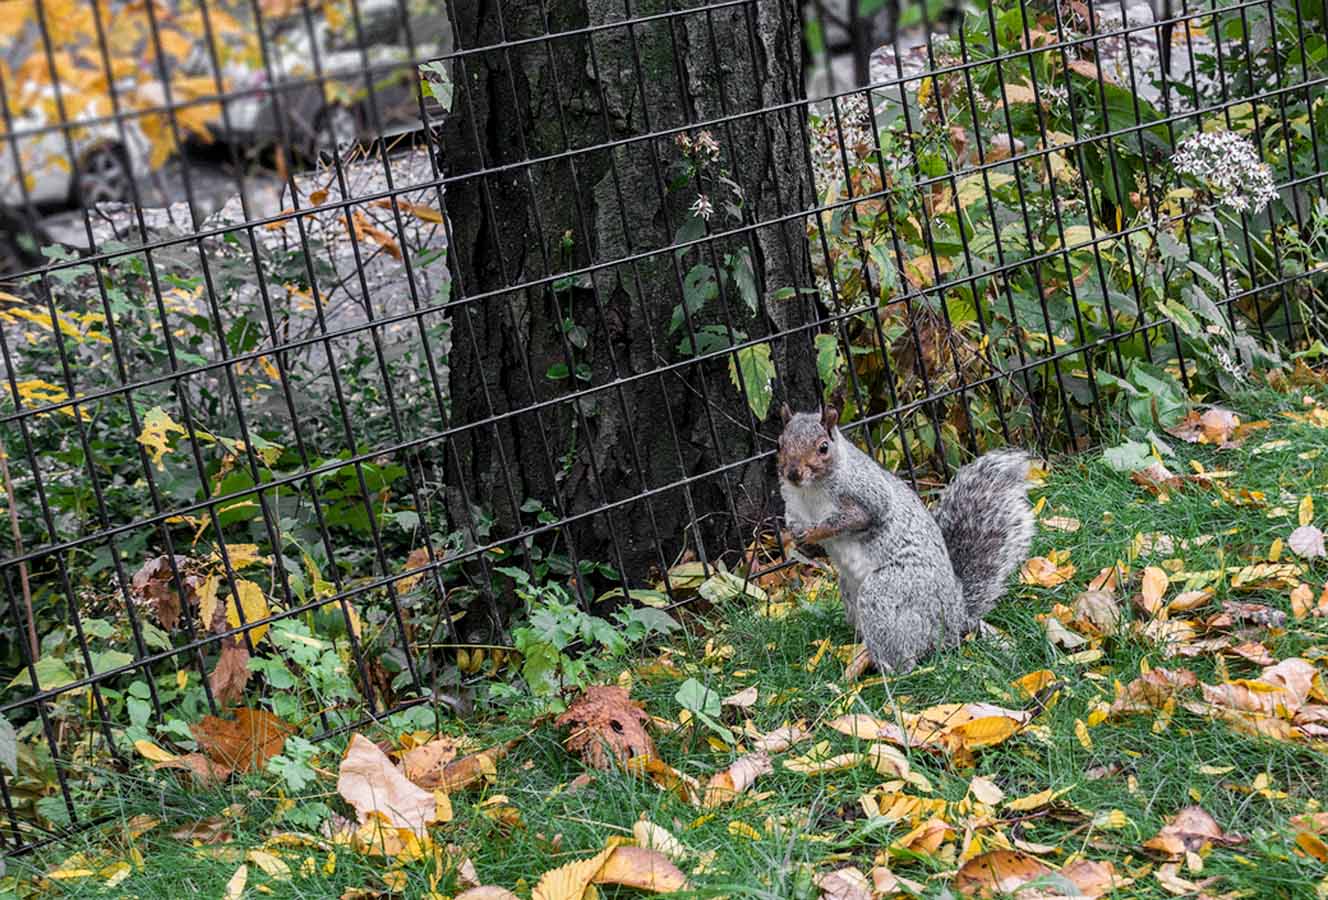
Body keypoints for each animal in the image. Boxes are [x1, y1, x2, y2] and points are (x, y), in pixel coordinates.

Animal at [775, 403, 1035, 676]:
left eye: (823, 447)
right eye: (779, 444)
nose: (792, 473)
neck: (810, 492)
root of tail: (955, 618)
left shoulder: (868, 496)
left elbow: (854, 518)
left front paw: (816, 532)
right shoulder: (793, 505)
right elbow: (793, 522)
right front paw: (793, 537)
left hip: (888, 592)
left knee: (906, 654)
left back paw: (887, 671)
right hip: (849, 590)